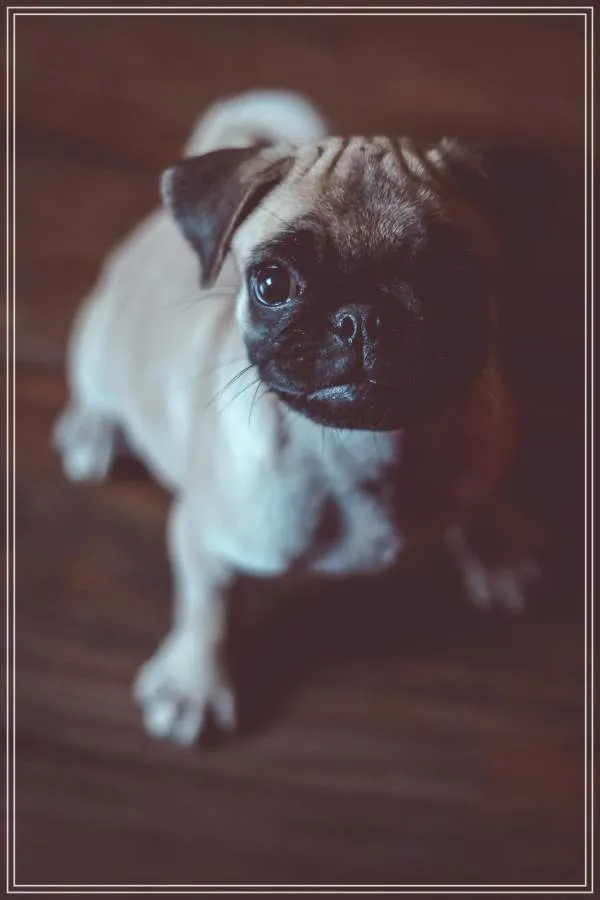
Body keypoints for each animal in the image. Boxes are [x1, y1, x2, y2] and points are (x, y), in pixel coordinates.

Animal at [54, 90, 540, 746]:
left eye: (452, 278)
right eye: (272, 282)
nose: (362, 317)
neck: (361, 447)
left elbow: (482, 496)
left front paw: (495, 544)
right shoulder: (204, 533)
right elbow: (207, 605)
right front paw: (194, 682)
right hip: (102, 346)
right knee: (99, 391)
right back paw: (93, 431)